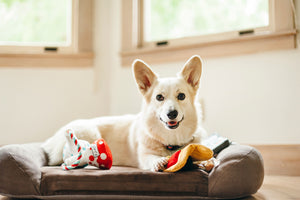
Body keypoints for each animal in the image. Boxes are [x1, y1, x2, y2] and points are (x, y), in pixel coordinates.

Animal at [42, 55, 206, 172]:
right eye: (159, 97)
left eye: (181, 96)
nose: (172, 113)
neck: (171, 139)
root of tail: (50, 140)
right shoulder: (144, 156)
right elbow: (150, 158)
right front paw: (158, 161)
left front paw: (204, 162)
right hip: (90, 132)